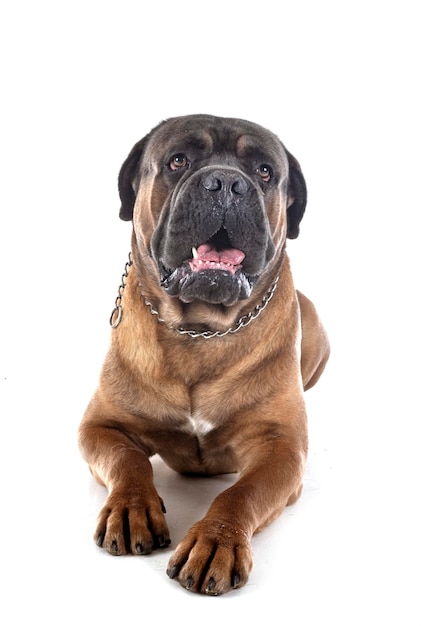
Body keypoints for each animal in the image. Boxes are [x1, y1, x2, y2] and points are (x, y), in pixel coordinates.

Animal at [78, 113, 328, 596]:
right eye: (179, 160)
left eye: (264, 171)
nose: (226, 183)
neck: (199, 330)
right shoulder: (100, 425)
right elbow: (128, 458)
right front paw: (131, 508)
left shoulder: (281, 447)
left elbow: (239, 492)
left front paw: (216, 541)